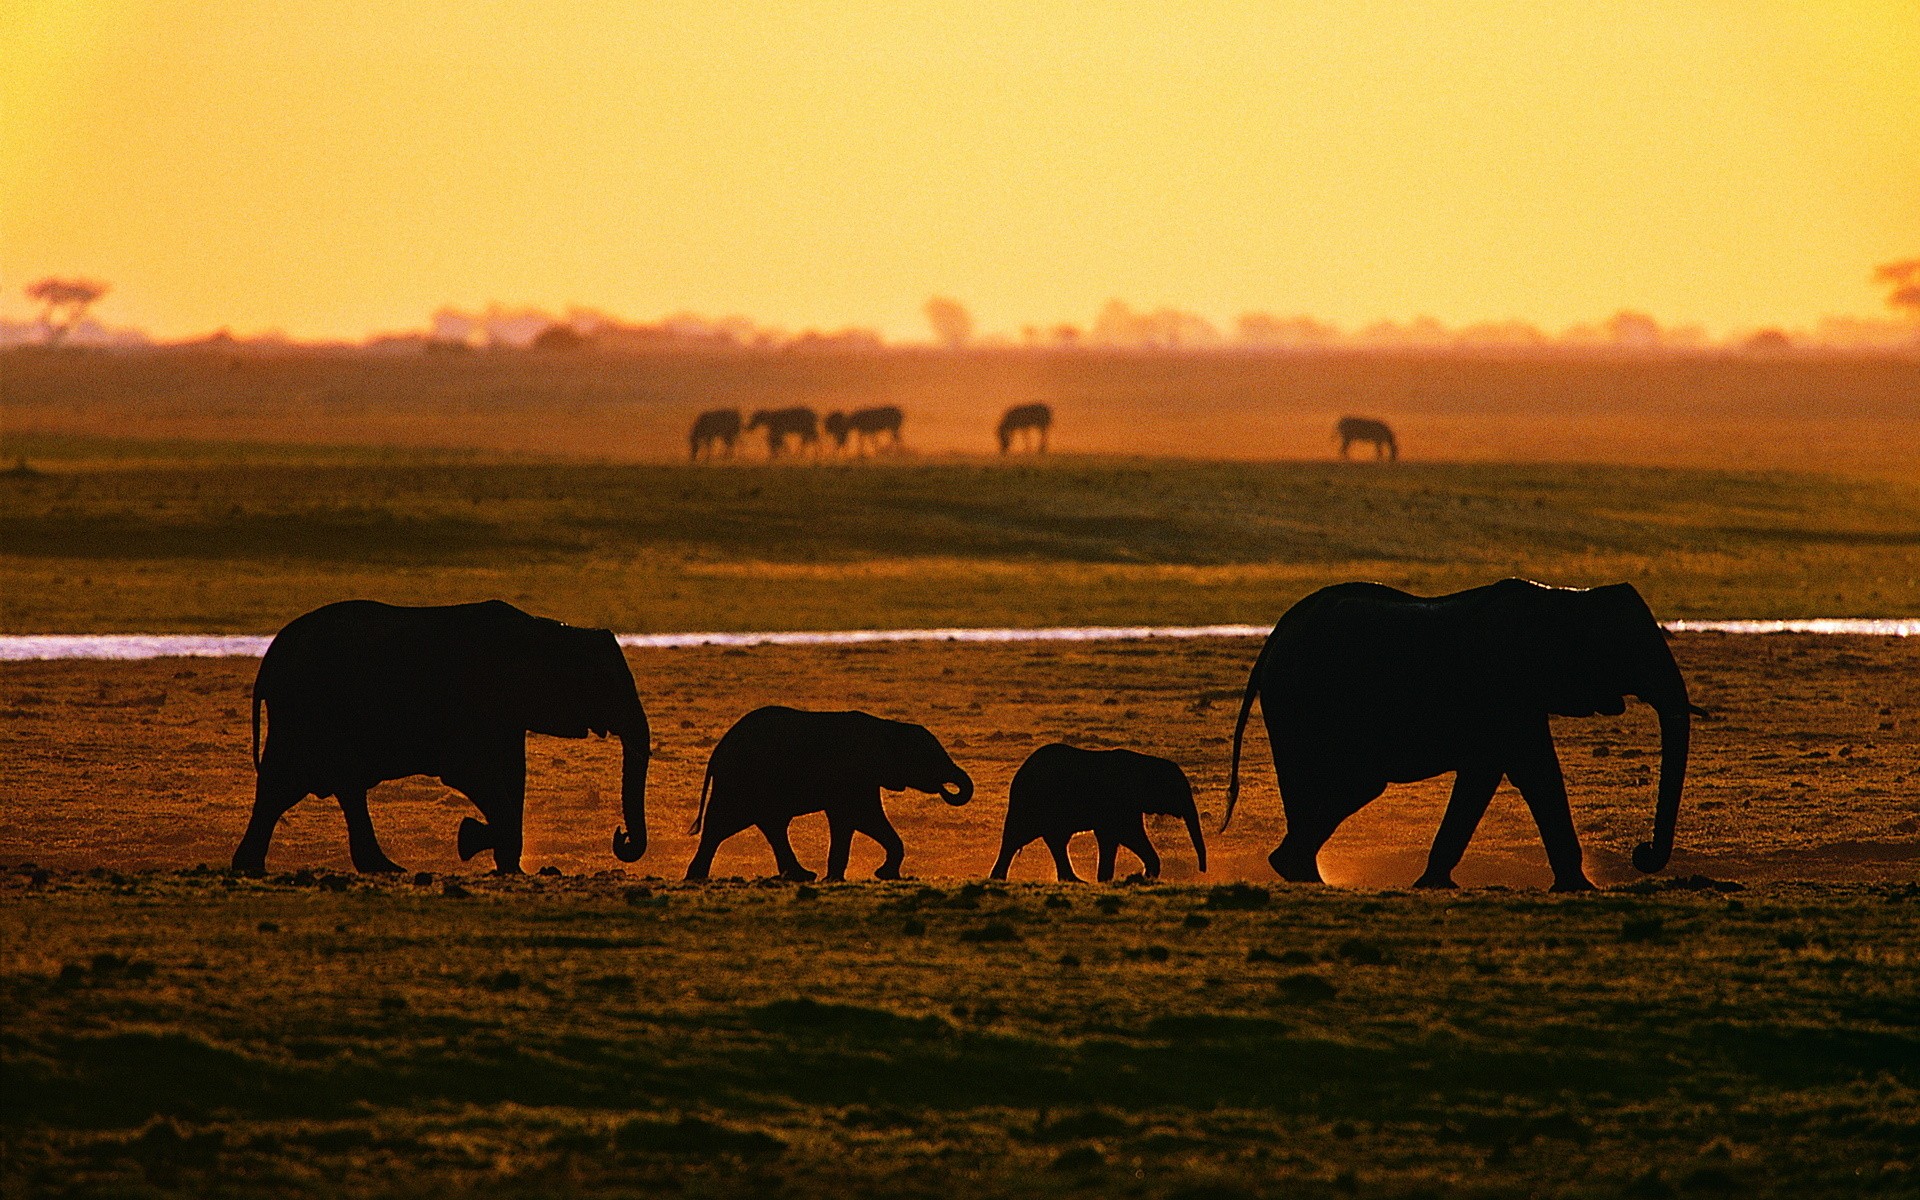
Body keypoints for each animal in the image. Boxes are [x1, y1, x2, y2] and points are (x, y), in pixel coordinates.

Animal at [230, 599, 652, 871]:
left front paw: (505, 863)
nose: (620, 838)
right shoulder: (474, 701)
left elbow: (512, 776)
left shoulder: (506, 714)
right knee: (286, 784)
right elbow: (469, 772)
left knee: (328, 788)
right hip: (304, 709)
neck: (546, 632)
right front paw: (473, 839)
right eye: (606, 686)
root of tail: (271, 655)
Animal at [683, 702, 967, 879]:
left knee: (766, 825)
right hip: (741, 780)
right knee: (724, 824)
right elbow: (862, 817)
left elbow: (856, 820)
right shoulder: (853, 775)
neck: (888, 727)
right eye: (930, 758)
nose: (945, 787)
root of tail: (717, 752)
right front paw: (880, 875)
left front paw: (850, 877)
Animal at [990, 741, 1198, 879]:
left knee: (1051, 840)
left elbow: (1120, 835)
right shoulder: (1117, 801)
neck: (1146, 763)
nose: (1202, 869)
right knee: (1019, 837)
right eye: (1178, 791)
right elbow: (1124, 834)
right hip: (1033, 802)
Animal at [1228, 579, 1697, 890]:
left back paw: (1297, 873)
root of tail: (1278, 631)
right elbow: (1533, 771)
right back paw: (1298, 873)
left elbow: (1493, 773)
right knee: (1358, 783)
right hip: (1301, 697)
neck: (1567, 600)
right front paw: (1580, 889)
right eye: (1635, 652)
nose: (1642, 853)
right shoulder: (1508, 686)